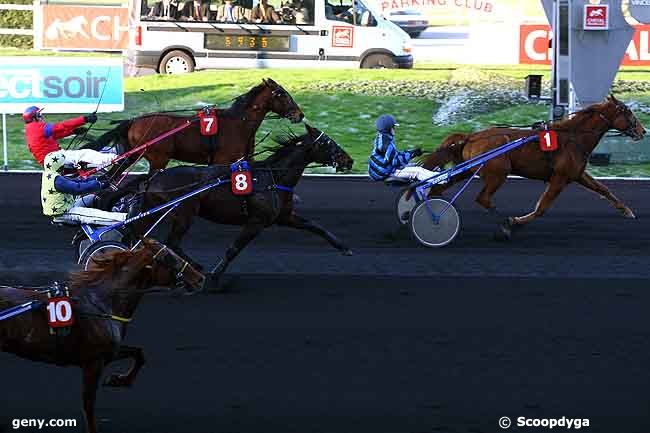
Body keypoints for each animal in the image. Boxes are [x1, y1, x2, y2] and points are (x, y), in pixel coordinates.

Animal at [0, 238, 202, 432]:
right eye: (169, 257)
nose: (200, 278)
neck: (102, 302)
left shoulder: (109, 352)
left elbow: (139, 353)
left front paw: (118, 380)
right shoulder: (93, 361)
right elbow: (88, 404)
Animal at [92, 77, 306, 172]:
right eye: (281, 94)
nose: (300, 114)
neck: (239, 124)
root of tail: (134, 121)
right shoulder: (222, 162)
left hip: (132, 156)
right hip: (158, 160)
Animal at [130, 123, 352, 288]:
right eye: (327, 142)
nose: (348, 160)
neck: (273, 178)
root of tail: (154, 177)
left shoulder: (284, 217)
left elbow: (315, 226)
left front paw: (344, 247)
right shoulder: (256, 221)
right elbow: (233, 249)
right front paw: (215, 277)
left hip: (153, 210)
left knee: (140, 235)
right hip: (185, 214)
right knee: (172, 242)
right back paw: (192, 267)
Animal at [420, 95, 644, 240]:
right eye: (628, 112)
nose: (643, 130)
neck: (574, 137)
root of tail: (471, 136)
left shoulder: (577, 174)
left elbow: (603, 189)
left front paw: (626, 211)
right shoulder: (560, 177)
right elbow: (542, 208)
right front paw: (514, 222)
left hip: (467, 169)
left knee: (439, 188)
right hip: (498, 173)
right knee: (482, 198)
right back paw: (501, 220)